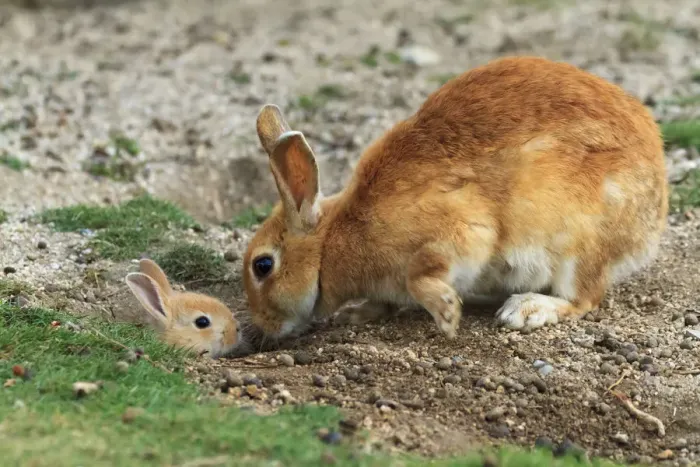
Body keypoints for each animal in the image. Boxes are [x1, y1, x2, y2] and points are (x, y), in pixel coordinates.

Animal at [241, 55, 668, 340]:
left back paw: (525, 309)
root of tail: (654, 213)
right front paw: (359, 313)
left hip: (578, 241)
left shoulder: (460, 231)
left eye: (263, 265)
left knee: (584, 298)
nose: (262, 327)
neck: (330, 244)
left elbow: (421, 274)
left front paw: (447, 314)